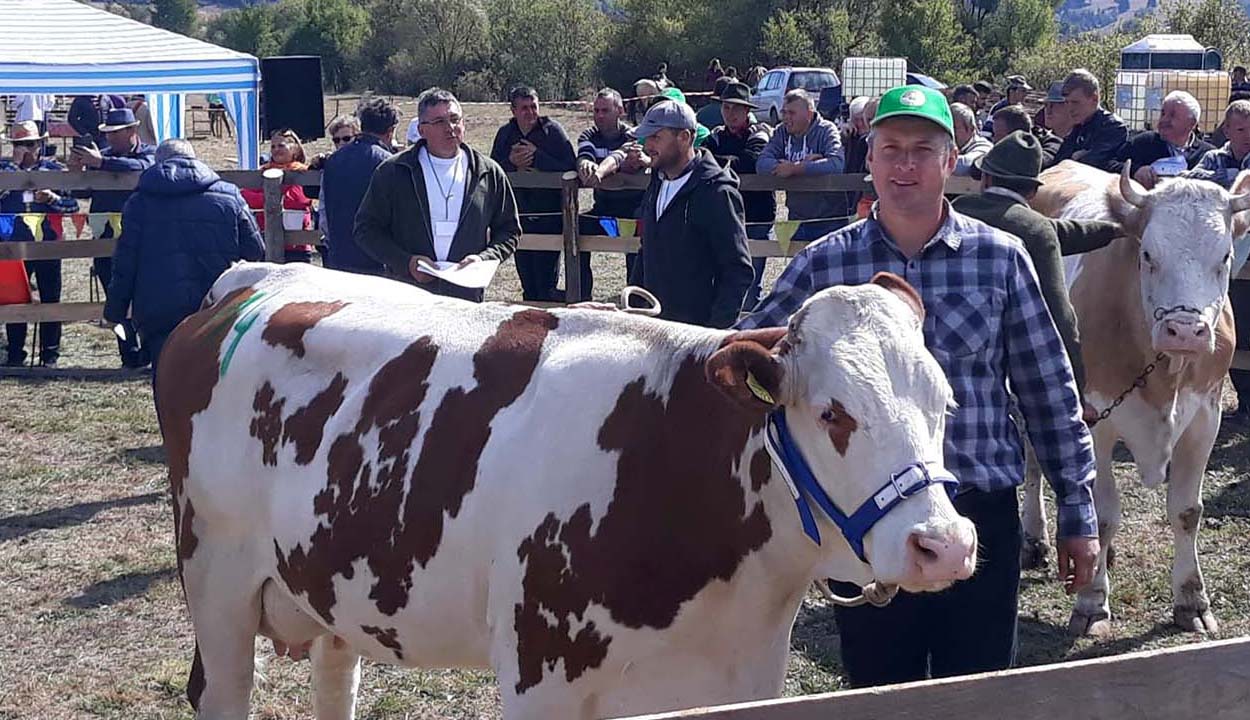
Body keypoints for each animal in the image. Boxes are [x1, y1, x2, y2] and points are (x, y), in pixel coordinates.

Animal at [158, 262, 975, 720]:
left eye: (945, 401)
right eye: (833, 413)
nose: (944, 545)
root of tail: (249, 286)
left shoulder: (744, 682)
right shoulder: (540, 679)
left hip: (331, 587)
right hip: (217, 583)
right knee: (222, 695)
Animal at [1025, 161, 1250, 635]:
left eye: (1224, 257)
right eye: (1147, 255)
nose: (1185, 331)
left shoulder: (1205, 419)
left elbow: (1187, 511)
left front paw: (1192, 600)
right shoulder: (1094, 421)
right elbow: (1105, 513)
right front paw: (1092, 603)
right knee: (1033, 461)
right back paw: (1035, 539)